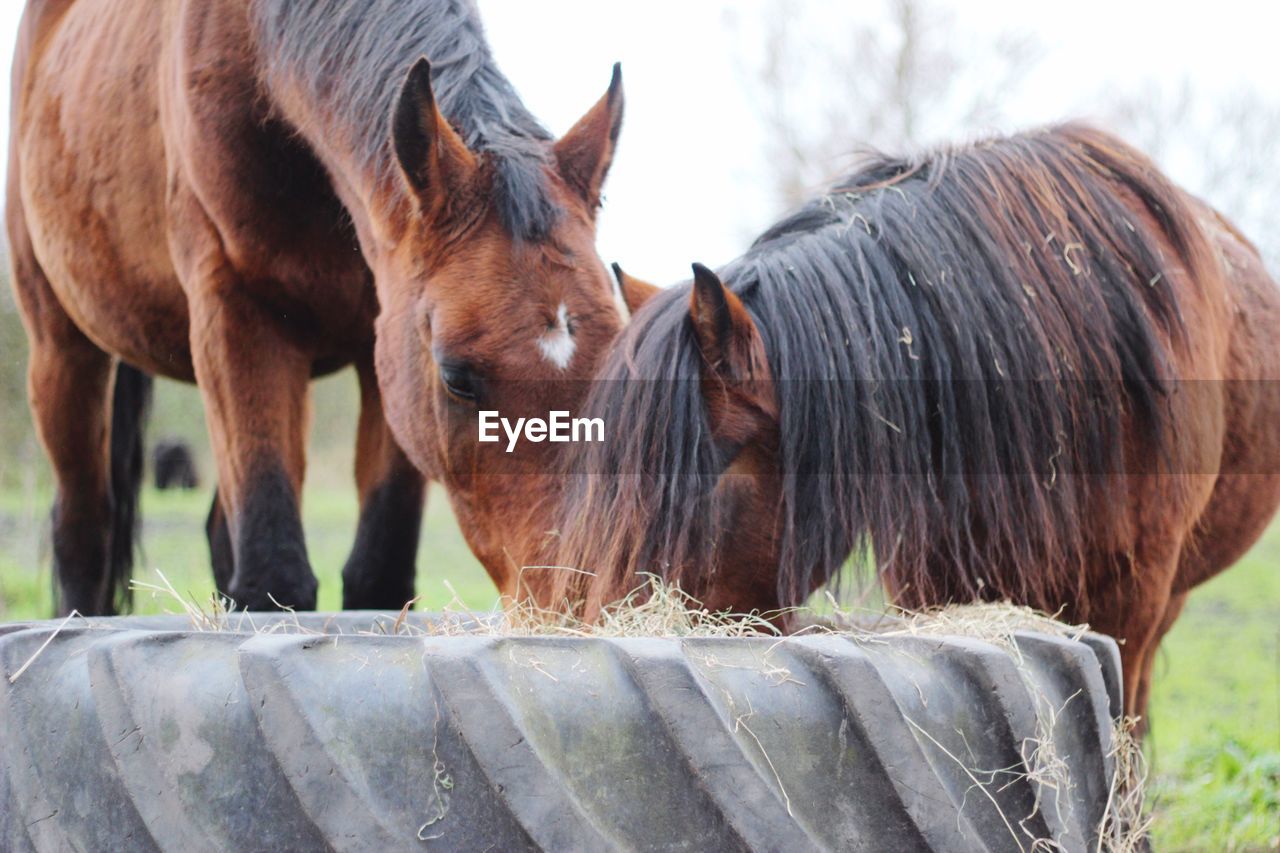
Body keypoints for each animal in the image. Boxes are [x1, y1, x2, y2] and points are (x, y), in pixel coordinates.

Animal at [7, 0, 650, 612]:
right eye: (457, 379)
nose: (568, 596)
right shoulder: (237, 311)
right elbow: (275, 578)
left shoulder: (385, 345)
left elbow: (378, 576)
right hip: (63, 351)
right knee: (81, 532)